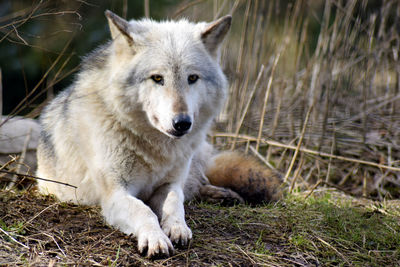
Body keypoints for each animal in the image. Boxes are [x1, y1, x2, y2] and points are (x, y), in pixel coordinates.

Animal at [36, 11, 282, 260]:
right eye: (157, 78)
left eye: (192, 78)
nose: (182, 123)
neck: (155, 147)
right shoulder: (115, 194)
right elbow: (143, 210)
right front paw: (156, 239)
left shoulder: (169, 184)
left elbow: (175, 203)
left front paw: (178, 228)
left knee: (198, 183)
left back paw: (223, 195)